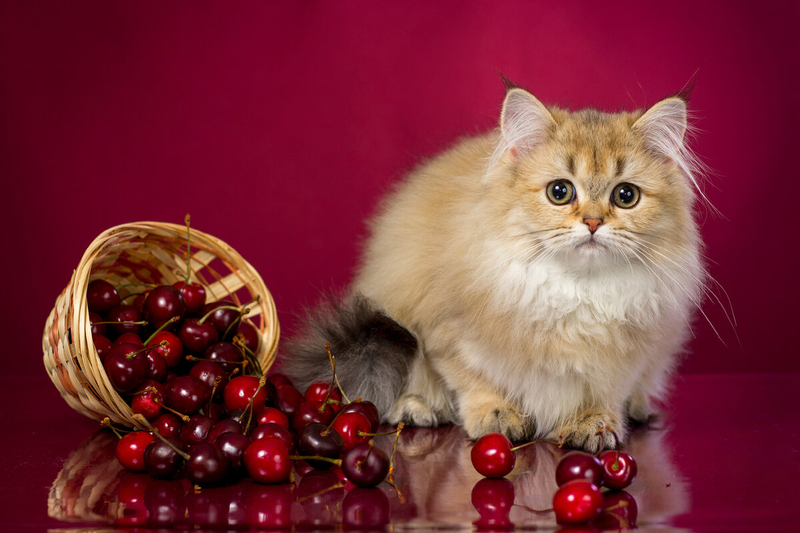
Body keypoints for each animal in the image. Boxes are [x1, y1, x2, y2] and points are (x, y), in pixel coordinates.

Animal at [282, 81, 708, 450]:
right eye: (560, 192)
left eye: (625, 196)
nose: (592, 223)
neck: (577, 289)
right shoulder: (449, 337)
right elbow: (476, 382)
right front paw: (498, 414)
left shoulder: (626, 358)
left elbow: (602, 393)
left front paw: (594, 423)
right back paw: (417, 406)